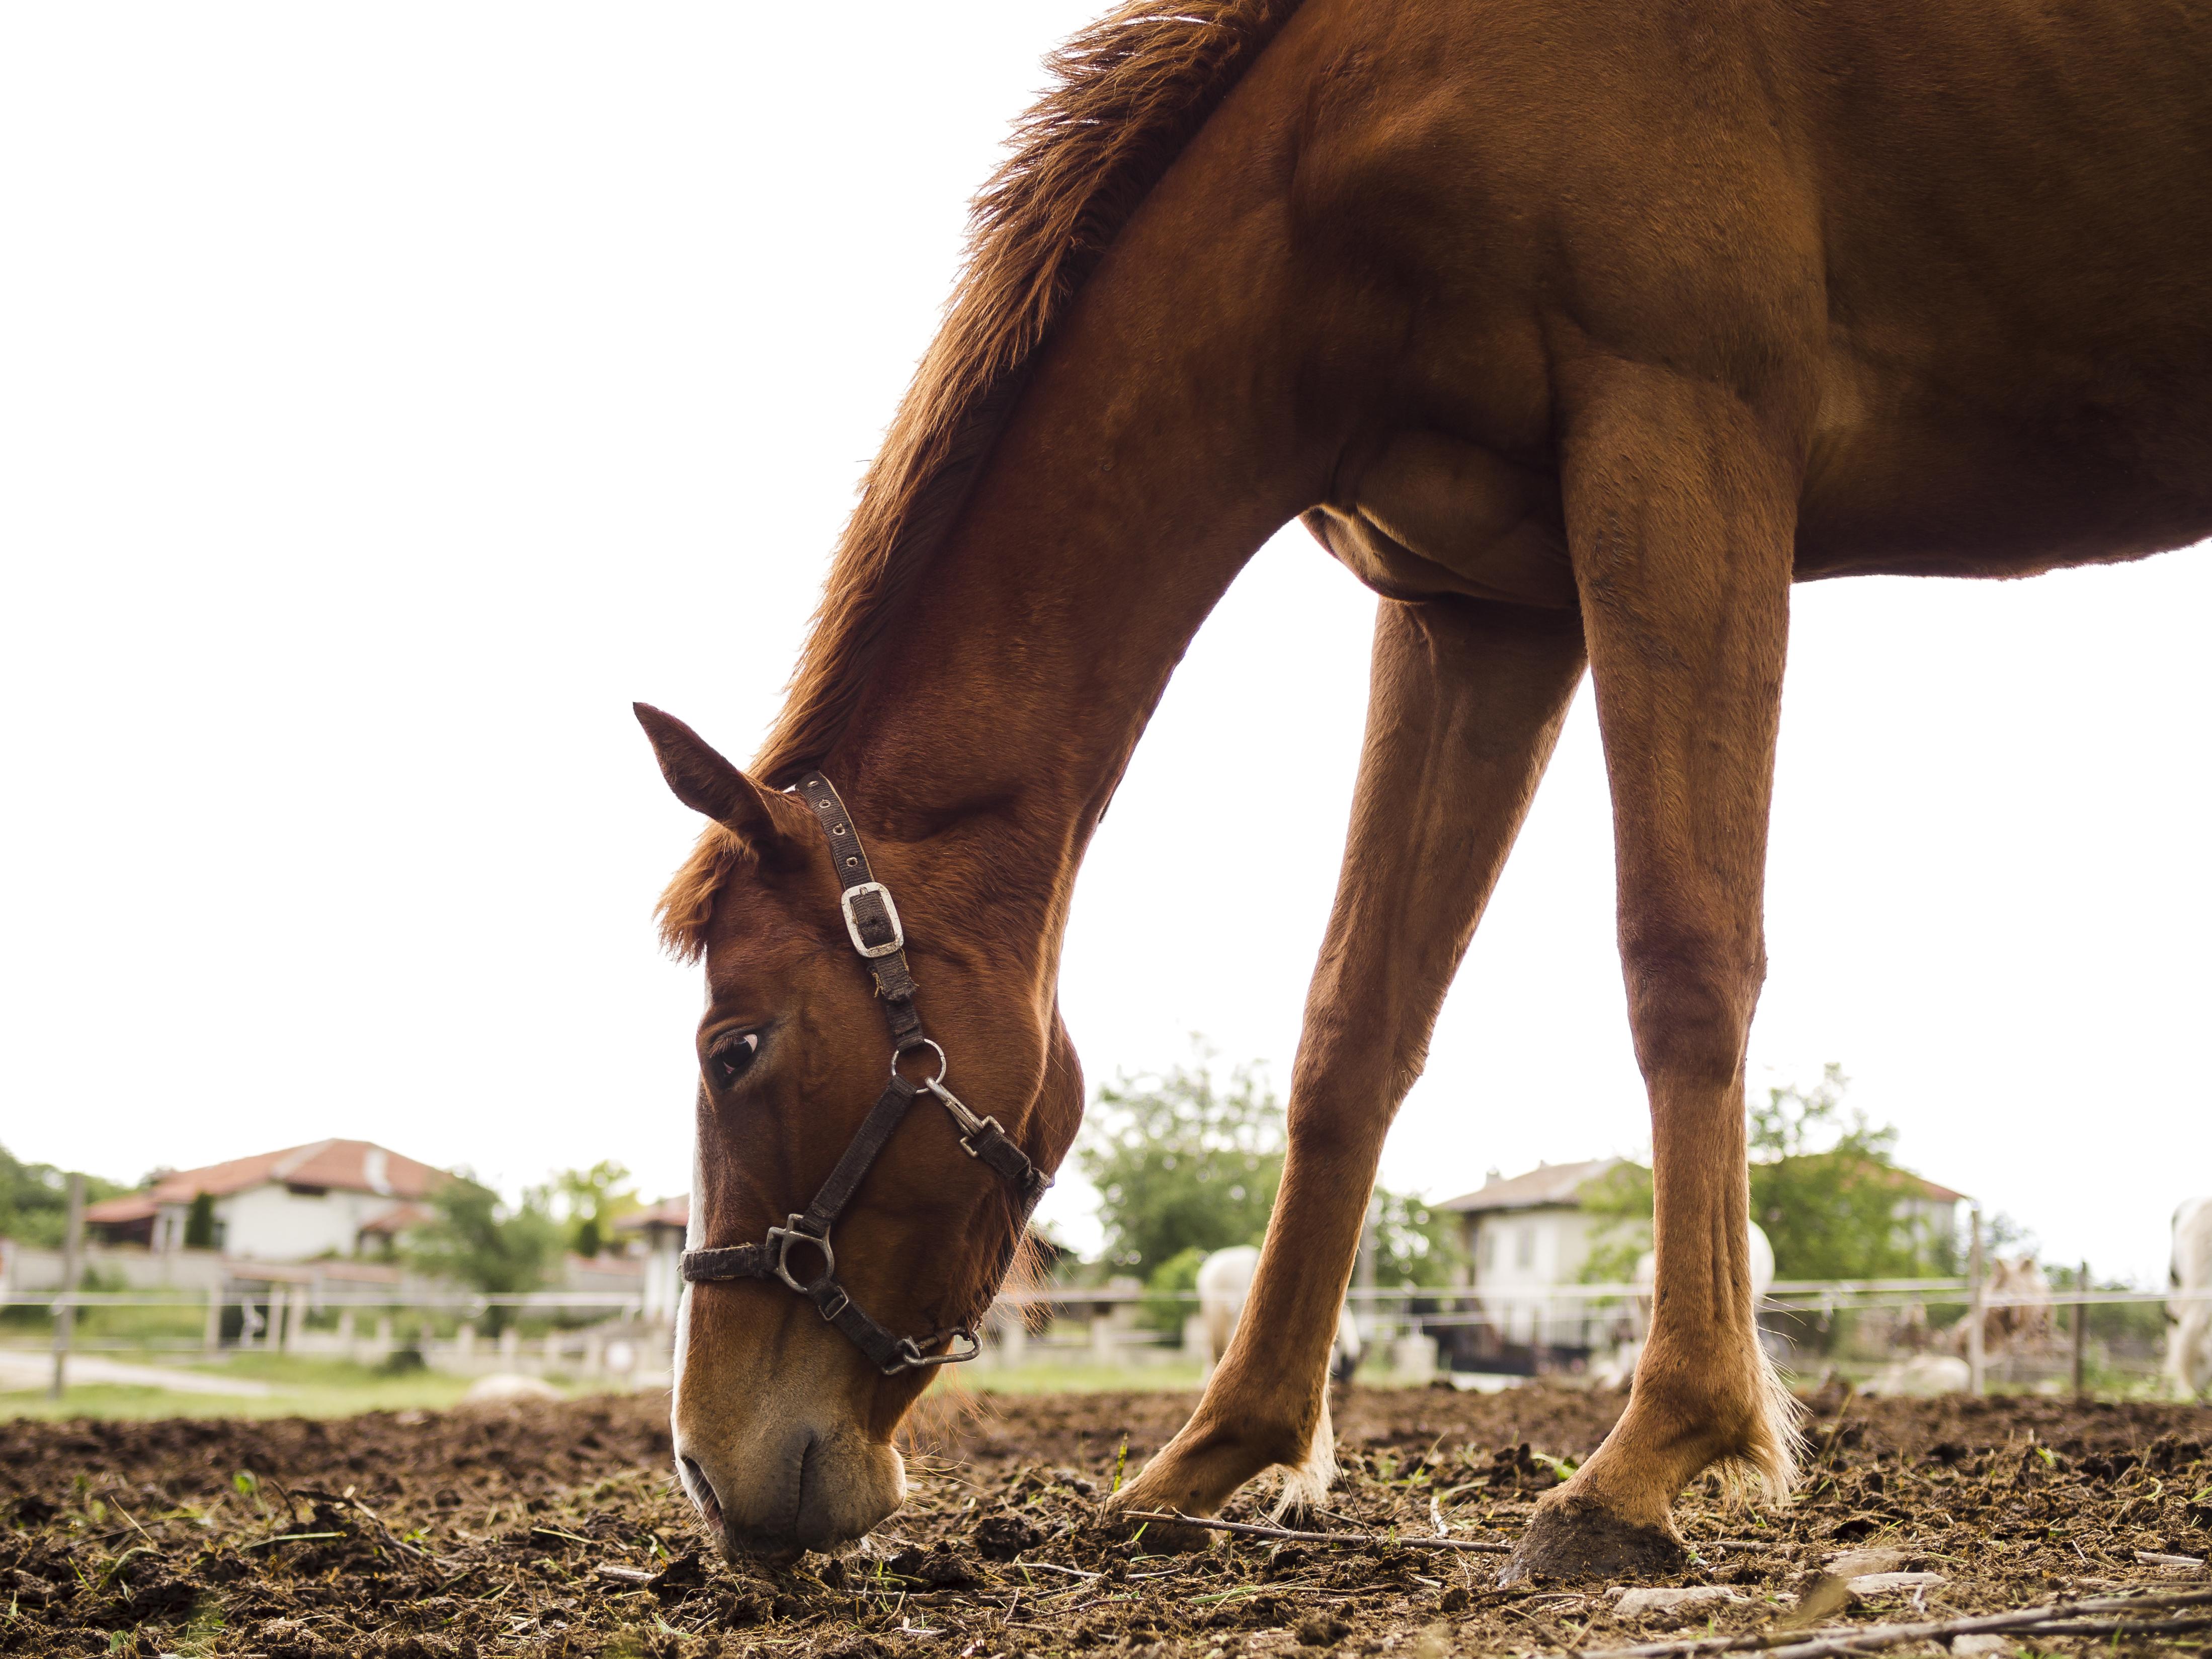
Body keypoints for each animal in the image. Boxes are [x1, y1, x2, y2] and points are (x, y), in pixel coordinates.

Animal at [634, 0, 2212, 1577]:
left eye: (734, 1049)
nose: (706, 1468)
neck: (1354, 130)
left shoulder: (1681, 444)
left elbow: (1683, 958)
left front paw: (1653, 1452)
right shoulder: (1476, 604)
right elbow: (1353, 1033)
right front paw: (1221, 1451)